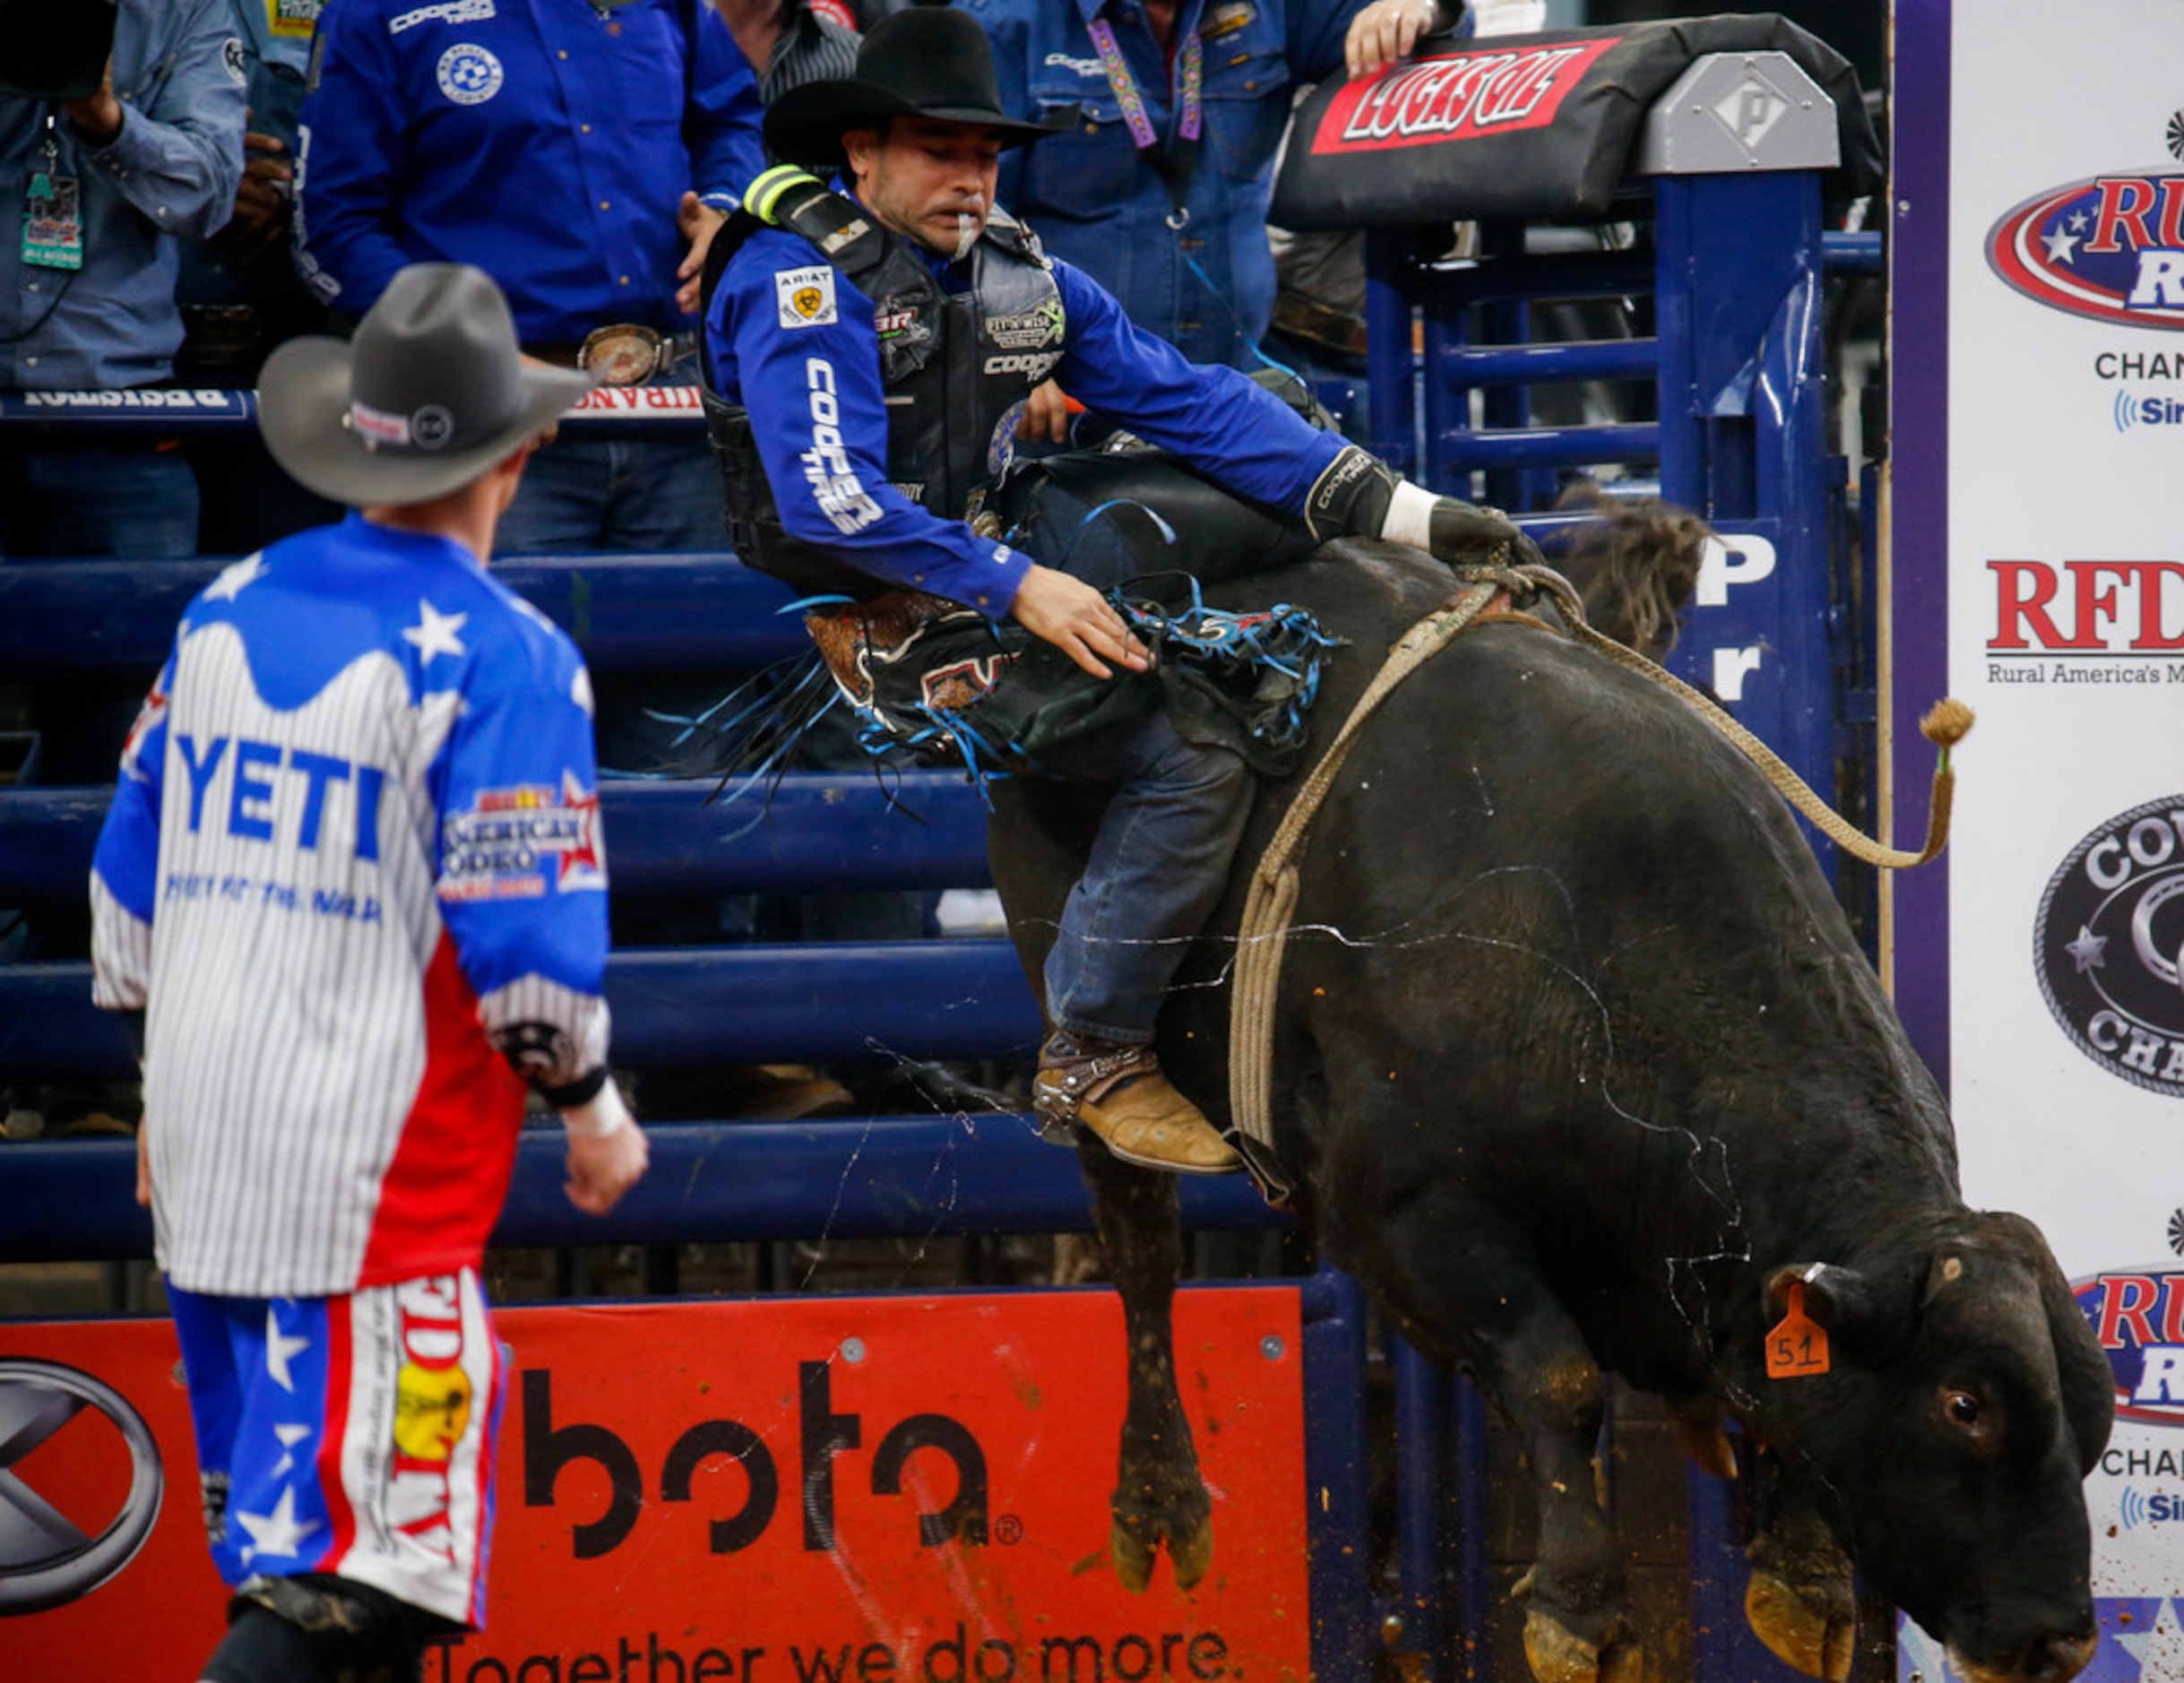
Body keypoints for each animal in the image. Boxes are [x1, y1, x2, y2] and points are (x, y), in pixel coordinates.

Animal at [987, 523, 2114, 1667]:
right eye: (1964, 1404)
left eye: (2094, 1411)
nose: (2058, 1641)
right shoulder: (1406, 1216)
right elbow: (1558, 1381)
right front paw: (1579, 1610)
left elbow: (1784, 1392)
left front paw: (1803, 1582)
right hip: (1066, 971)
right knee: (1139, 1251)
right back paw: (1159, 1503)